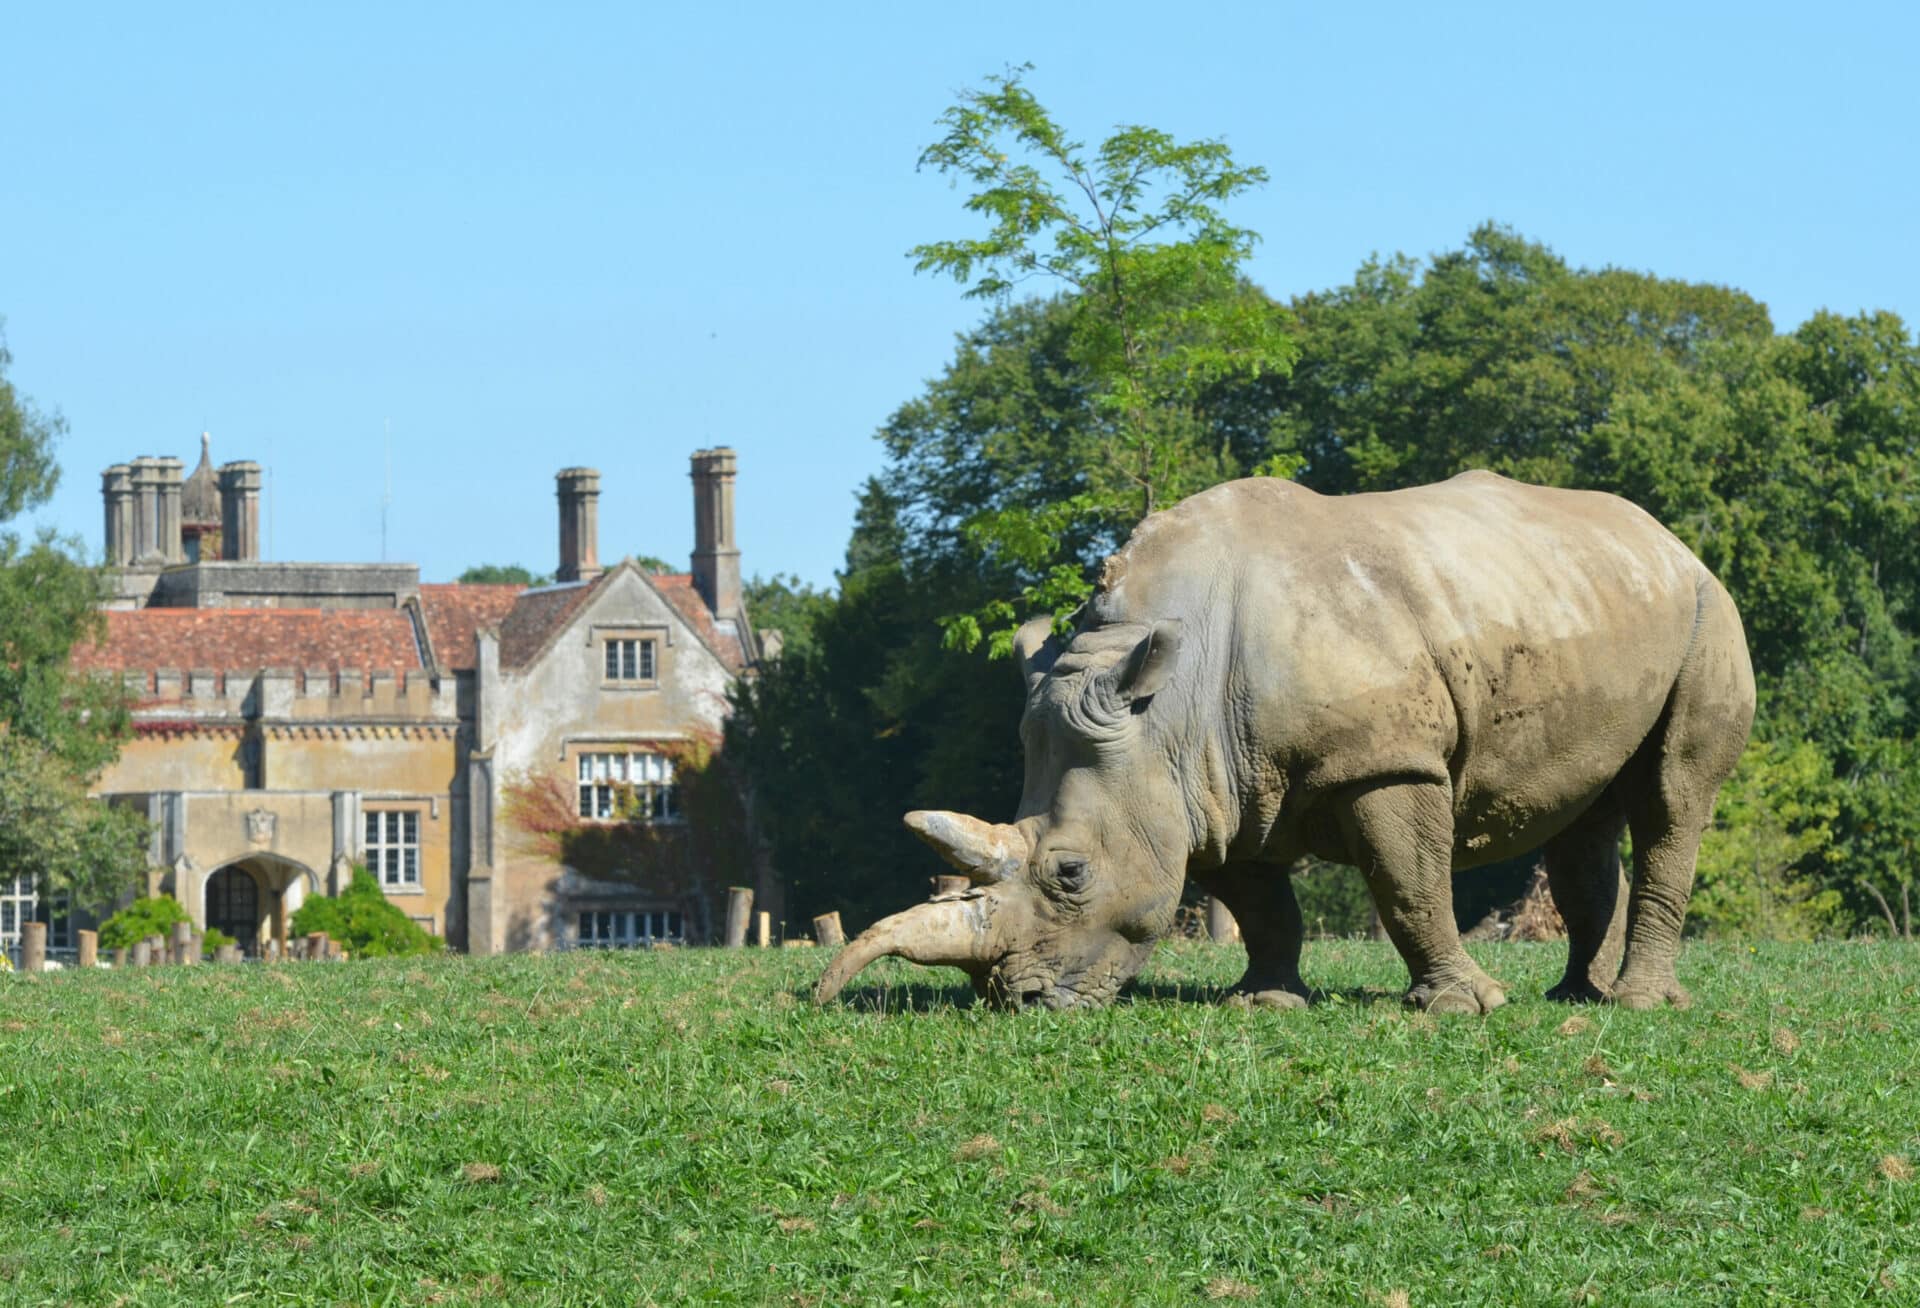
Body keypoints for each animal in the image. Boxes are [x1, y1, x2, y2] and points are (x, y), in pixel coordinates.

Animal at [810, 474, 1758, 1014]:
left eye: (1070, 874)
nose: (1021, 1001)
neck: (1164, 705)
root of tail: (1668, 538)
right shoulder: (1209, 787)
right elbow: (1263, 904)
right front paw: (1265, 1004)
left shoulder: (1381, 762)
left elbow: (1409, 886)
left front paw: (1464, 1010)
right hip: (1580, 595)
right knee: (1581, 818)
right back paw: (1573, 997)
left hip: (1708, 611)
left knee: (1672, 800)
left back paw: (1637, 1007)